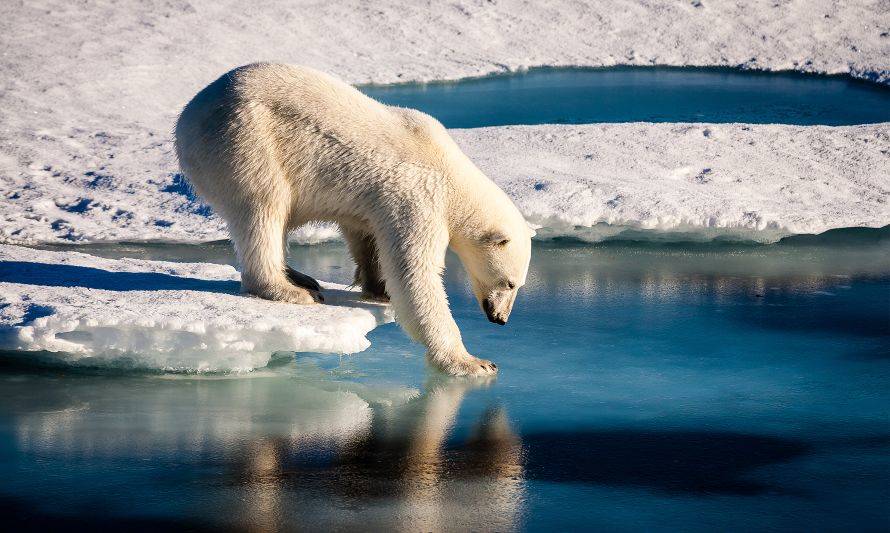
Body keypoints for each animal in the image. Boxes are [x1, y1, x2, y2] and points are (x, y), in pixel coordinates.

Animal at [177, 64, 532, 376]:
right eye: (509, 283)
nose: (500, 319)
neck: (451, 173)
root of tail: (187, 117)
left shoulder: (376, 202)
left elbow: (366, 235)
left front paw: (378, 288)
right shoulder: (418, 197)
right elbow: (415, 274)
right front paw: (473, 362)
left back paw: (300, 277)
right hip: (246, 141)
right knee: (264, 208)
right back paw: (290, 290)